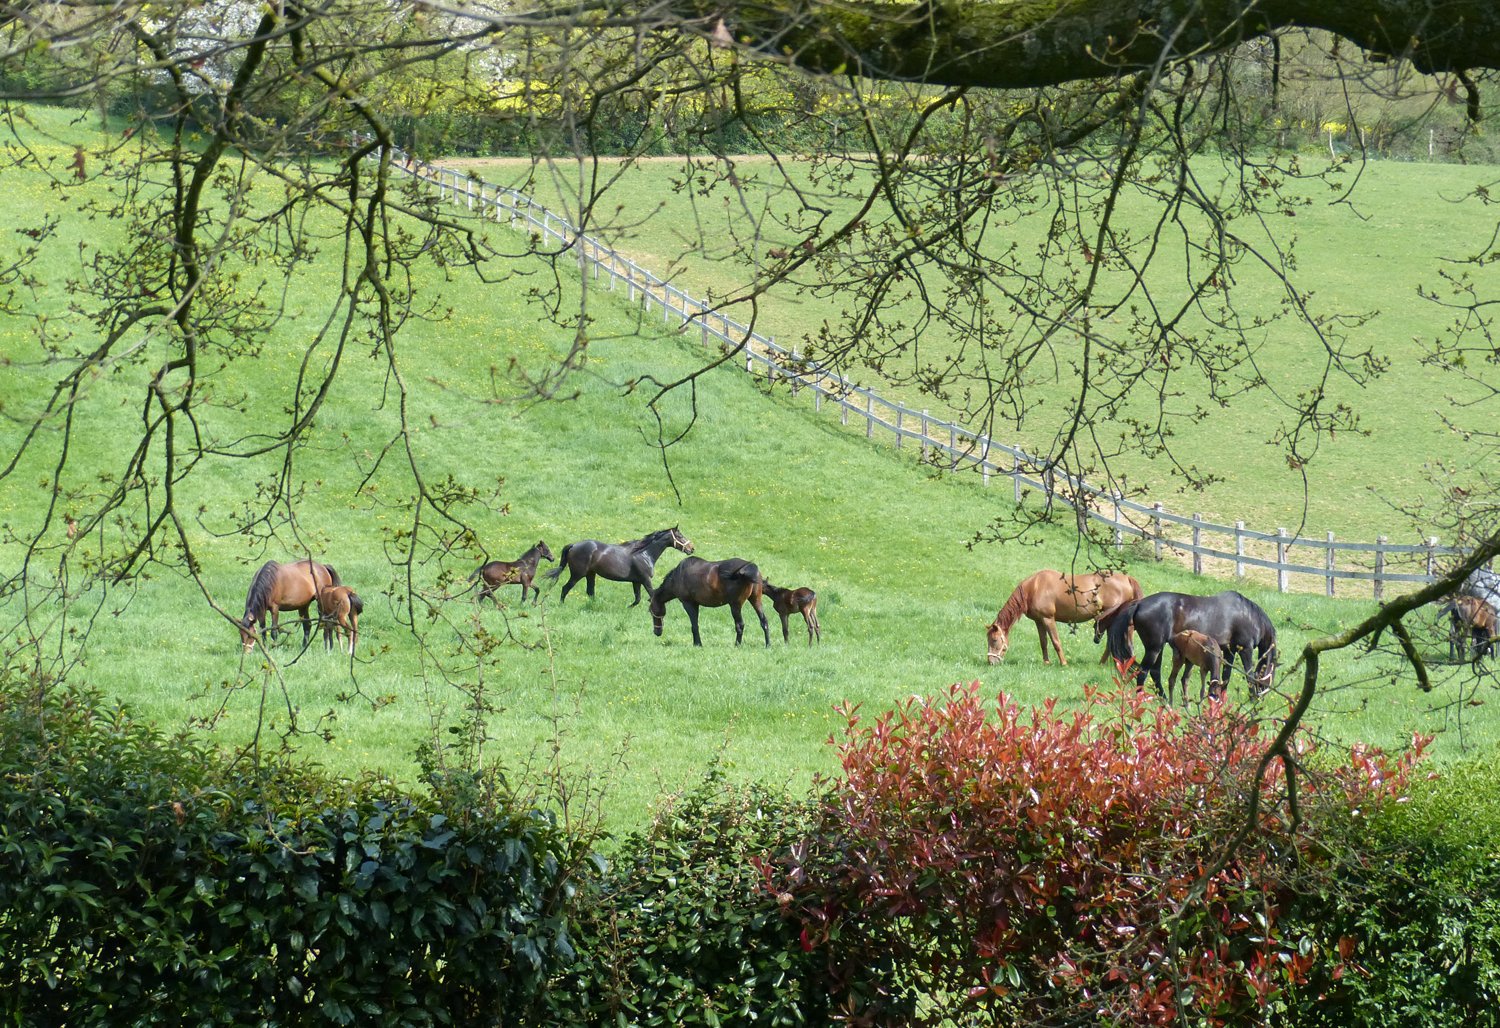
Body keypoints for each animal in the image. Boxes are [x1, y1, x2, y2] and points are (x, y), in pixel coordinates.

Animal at [545, 526, 693, 605]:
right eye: (680, 536)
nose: (691, 548)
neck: (644, 554)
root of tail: (573, 545)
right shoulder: (645, 580)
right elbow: (652, 596)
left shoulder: (636, 581)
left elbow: (637, 599)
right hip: (577, 575)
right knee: (565, 588)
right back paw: (561, 605)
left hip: (590, 574)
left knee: (590, 592)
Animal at [986, 570, 1142, 666]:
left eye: (994, 640)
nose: (990, 662)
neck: (1034, 587)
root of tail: (1127, 579)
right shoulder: (1039, 621)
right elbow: (1043, 642)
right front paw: (1046, 663)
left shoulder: (1048, 619)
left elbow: (1056, 642)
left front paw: (1064, 663)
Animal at [1107, 591, 1276, 696]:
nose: (1262, 696)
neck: (1249, 616)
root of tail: (1139, 604)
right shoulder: (1245, 649)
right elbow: (1249, 676)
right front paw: (1252, 698)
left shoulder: (1229, 651)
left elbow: (1226, 677)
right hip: (1154, 649)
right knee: (1143, 673)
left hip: (1157, 648)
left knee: (1155, 673)